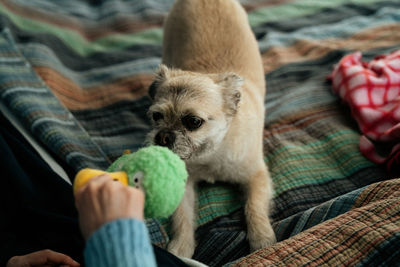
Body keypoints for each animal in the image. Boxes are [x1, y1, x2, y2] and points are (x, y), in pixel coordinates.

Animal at [146, 0, 276, 260]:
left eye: (193, 122)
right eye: (156, 117)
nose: (163, 135)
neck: (210, 153)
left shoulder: (257, 177)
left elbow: (253, 206)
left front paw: (262, 239)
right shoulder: (183, 184)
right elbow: (182, 216)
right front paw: (181, 247)